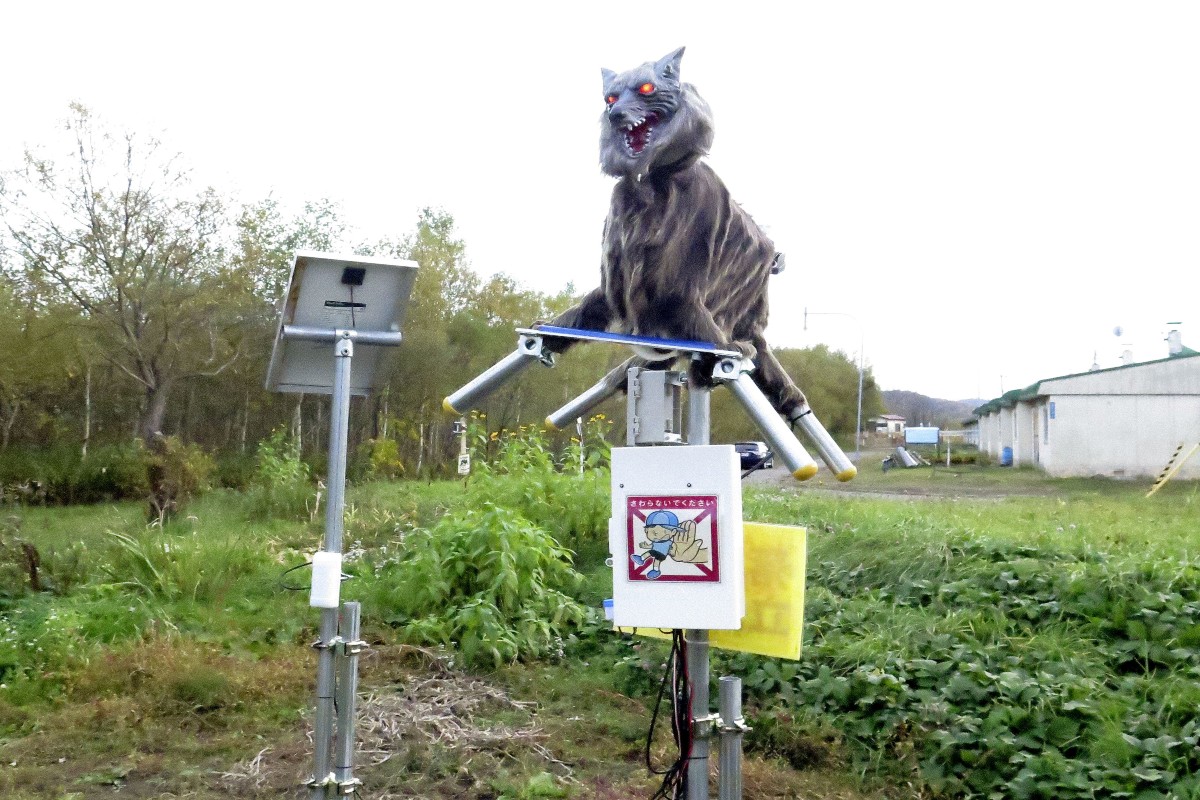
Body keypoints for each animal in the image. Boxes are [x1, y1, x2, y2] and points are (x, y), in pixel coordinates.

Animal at [547, 47, 806, 422]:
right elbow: (587, 308)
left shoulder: (680, 284)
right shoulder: (617, 277)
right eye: (610, 97)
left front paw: (722, 349)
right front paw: (553, 329)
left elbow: (704, 333)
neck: (652, 184)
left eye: (646, 88)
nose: (614, 113)